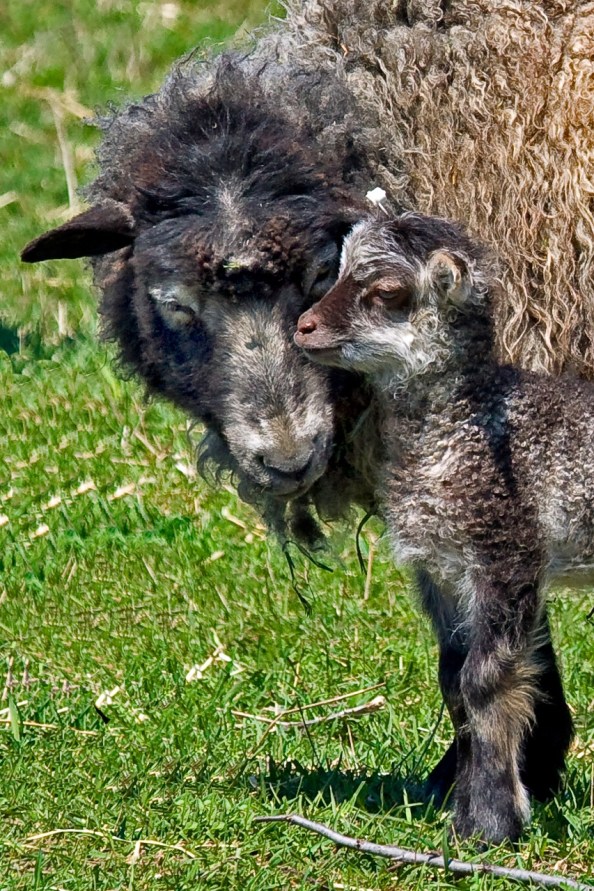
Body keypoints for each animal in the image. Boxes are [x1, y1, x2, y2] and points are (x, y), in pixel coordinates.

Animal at [294, 211, 588, 842]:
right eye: (337, 273)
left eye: (386, 292)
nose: (304, 327)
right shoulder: (441, 568)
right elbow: (453, 682)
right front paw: (463, 808)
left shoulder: (506, 555)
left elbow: (484, 680)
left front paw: (493, 821)